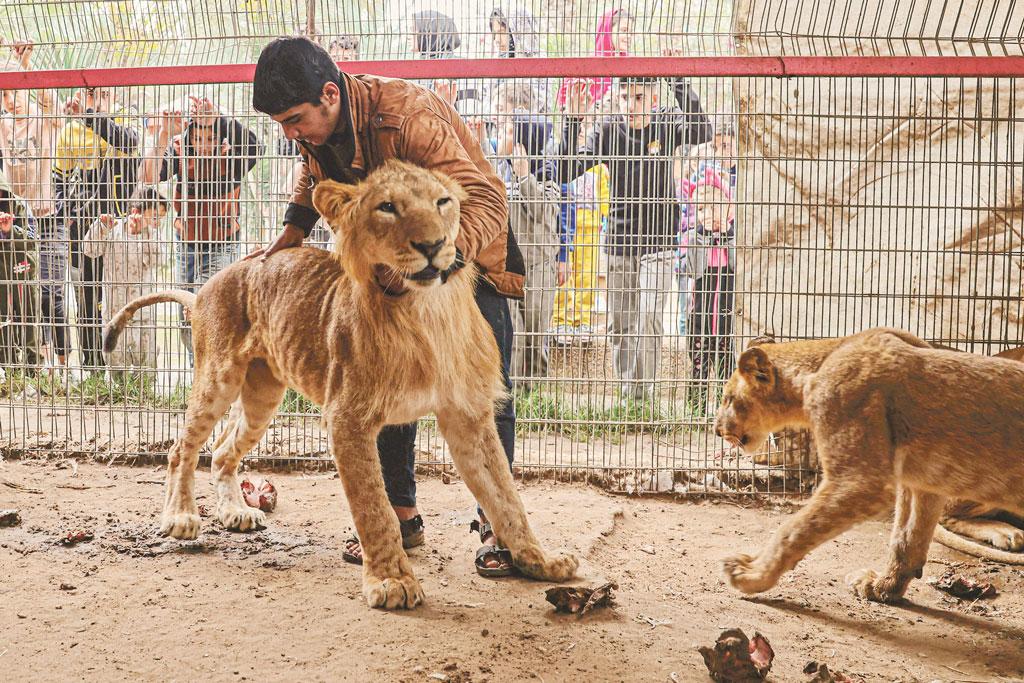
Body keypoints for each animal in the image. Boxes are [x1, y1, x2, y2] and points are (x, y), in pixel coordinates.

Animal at [108, 160, 581, 610]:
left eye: (443, 202)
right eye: (387, 207)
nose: (431, 246)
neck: (425, 311)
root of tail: (208, 284)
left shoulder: (468, 416)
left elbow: (507, 498)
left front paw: (540, 561)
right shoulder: (347, 417)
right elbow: (375, 507)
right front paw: (392, 581)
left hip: (263, 394)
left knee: (224, 451)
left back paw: (236, 513)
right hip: (218, 377)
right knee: (181, 447)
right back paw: (181, 517)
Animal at [712, 329, 1024, 602]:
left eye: (728, 398)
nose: (716, 430)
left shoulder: (861, 480)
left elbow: (794, 529)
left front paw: (750, 575)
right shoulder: (921, 480)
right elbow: (907, 539)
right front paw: (882, 588)